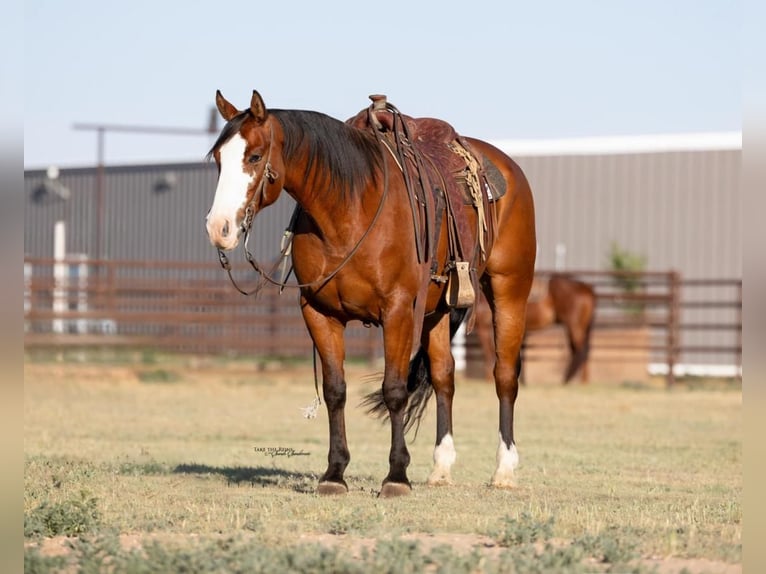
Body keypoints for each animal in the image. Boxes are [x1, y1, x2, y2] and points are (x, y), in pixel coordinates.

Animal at [207, 91, 536, 500]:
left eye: (254, 156)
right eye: (218, 159)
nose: (218, 228)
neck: (348, 211)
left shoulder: (397, 311)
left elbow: (394, 390)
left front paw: (396, 476)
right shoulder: (319, 313)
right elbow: (335, 391)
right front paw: (334, 473)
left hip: (510, 289)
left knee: (504, 375)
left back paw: (504, 470)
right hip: (437, 311)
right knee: (444, 375)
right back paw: (441, 468)